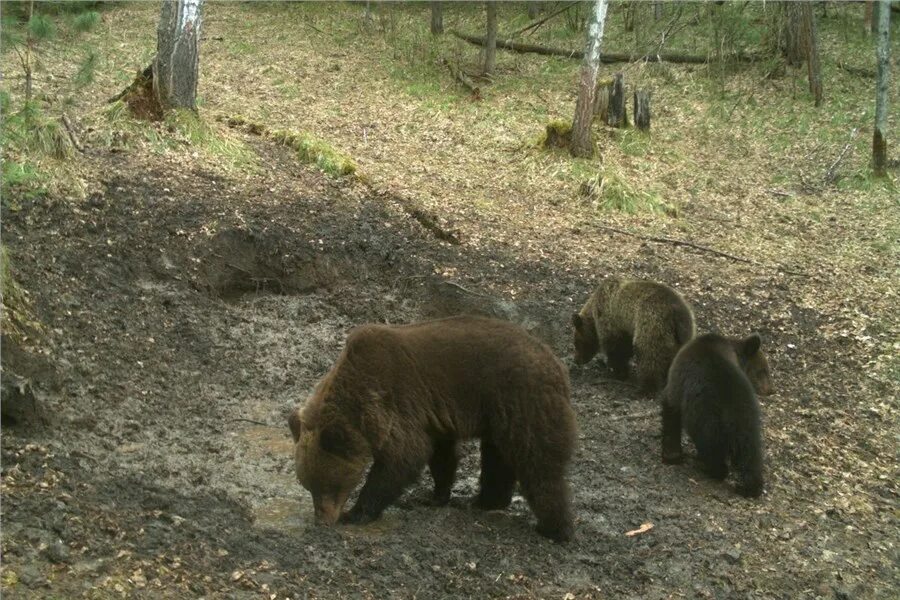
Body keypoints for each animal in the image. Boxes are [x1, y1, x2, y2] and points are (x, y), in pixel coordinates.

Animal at [292, 316, 580, 540]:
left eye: (327, 485)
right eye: (308, 486)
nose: (322, 520)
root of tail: (557, 364)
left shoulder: (395, 401)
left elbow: (403, 458)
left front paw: (356, 512)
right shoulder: (433, 416)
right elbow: (441, 457)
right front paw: (434, 496)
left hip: (522, 399)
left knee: (539, 463)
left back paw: (554, 528)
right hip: (499, 415)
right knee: (498, 457)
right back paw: (484, 501)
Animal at [568, 276, 696, 394]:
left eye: (576, 342)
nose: (576, 360)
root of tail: (677, 314)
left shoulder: (612, 320)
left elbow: (616, 347)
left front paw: (617, 371)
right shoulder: (626, 327)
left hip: (652, 323)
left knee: (648, 355)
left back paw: (645, 388)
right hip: (683, 335)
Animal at [656, 332, 776, 496]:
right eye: (764, 370)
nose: (771, 390)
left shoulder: (678, 383)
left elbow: (670, 409)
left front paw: (671, 455)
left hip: (706, 417)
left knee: (711, 448)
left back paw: (711, 468)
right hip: (748, 419)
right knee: (750, 452)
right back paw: (750, 487)